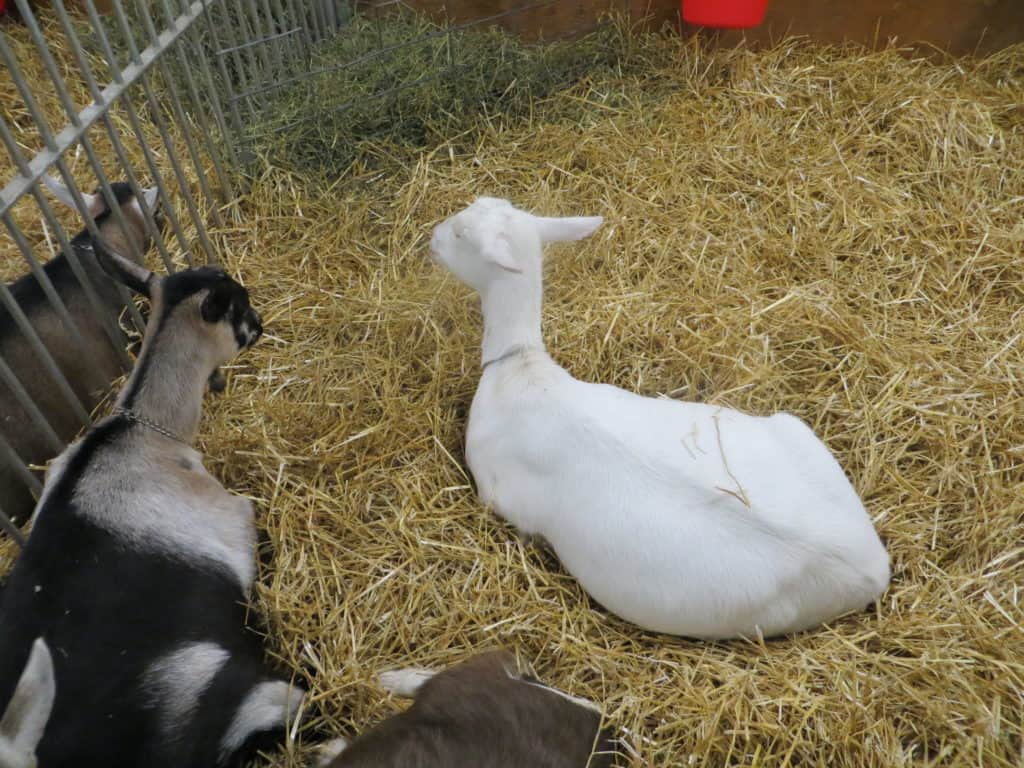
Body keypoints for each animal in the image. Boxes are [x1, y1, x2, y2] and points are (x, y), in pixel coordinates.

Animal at [428, 195, 892, 638]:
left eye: (461, 233)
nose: (432, 236)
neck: (520, 368)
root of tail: (874, 566)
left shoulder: (496, 493)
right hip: (795, 430)